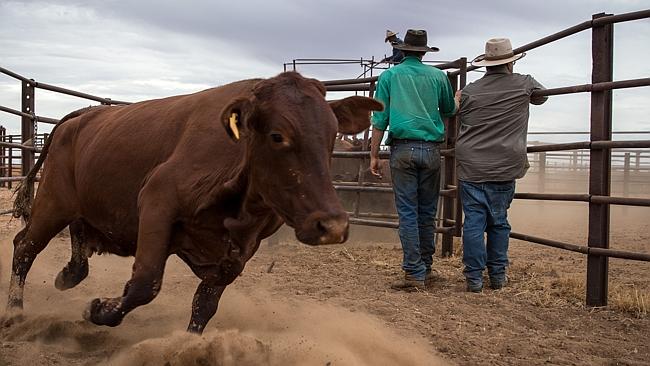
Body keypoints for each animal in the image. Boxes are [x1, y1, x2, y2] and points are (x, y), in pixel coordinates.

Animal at [7, 71, 382, 334]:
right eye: (278, 135)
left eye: (333, 135)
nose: (332, 226)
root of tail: (79, 117)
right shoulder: (156, 204)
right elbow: (145, 284)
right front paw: (97, 310)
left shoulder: (240, 250)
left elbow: (205, 304)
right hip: (53, 202)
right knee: (24, 246)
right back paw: (13, 312)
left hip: (83, 208)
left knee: (79, 249)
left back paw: (66, 276)